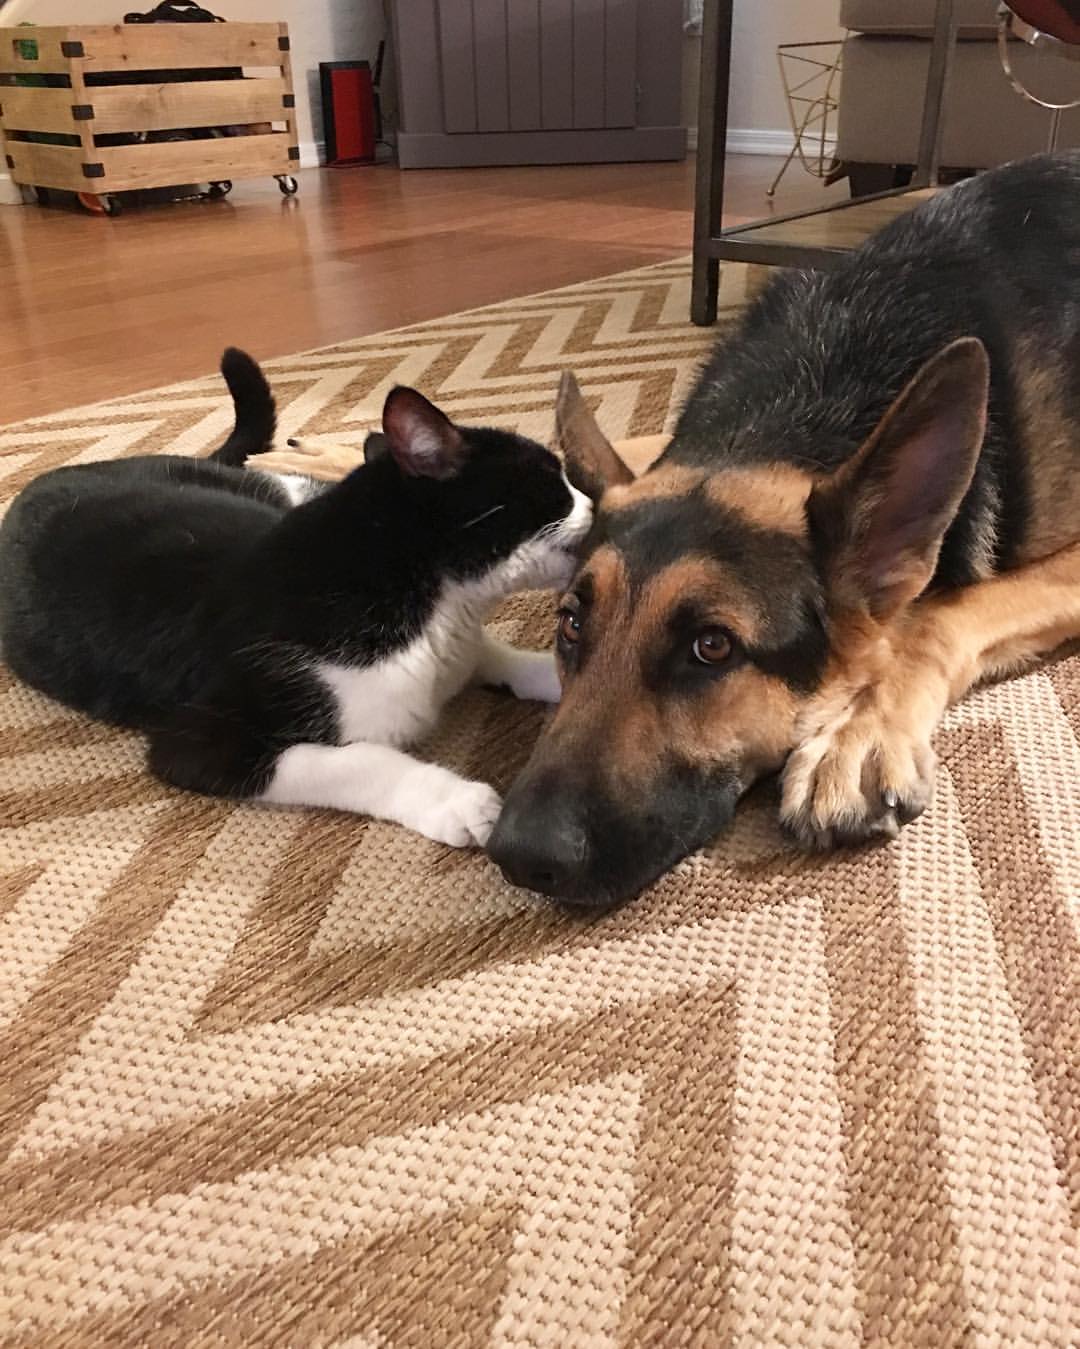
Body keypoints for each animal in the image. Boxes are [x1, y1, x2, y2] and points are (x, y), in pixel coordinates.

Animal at [2, 348, 590, 841]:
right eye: (551, 482)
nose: (596, 498)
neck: (434, 604)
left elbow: (488, 655)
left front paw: (555, 673)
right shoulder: (200, 741)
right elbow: (358, 760)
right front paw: (456, 802)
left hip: (268, 492)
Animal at [485, 155, 1078, 906]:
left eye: (712, 647)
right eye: (570, 624)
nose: (516, 855)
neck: (789, 413)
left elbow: (934, 618)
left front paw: (856, 732)